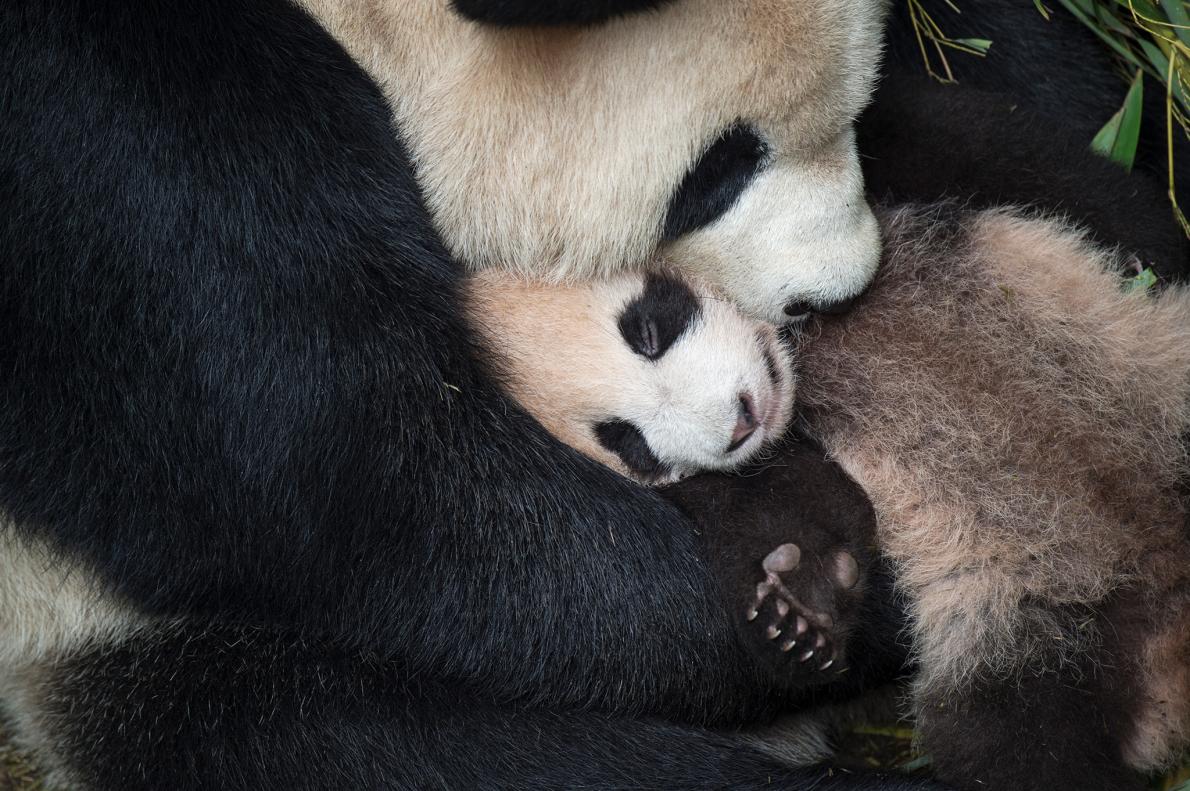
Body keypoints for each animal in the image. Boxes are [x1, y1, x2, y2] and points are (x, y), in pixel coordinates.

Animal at [0, 1, 947, 789]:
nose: (838, 291)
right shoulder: (115, 162)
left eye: (863, 97)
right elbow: (376, 492)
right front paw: (806, 574)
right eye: (717, 167)